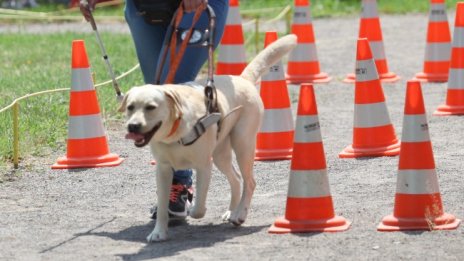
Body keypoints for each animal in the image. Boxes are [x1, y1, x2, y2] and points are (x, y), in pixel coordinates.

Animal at [118, 34, 296, 242]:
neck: (176, 132)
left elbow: (198, 208)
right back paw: (231, 211)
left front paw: (195, 210)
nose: (133, 126)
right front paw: (158, 232)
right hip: (220, 154)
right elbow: (162, 206)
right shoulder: (163, 169)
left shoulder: (204, 165)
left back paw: (239, 214)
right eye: (130, 107)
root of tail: (242, 79)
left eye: (150, 107)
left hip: (242, 145)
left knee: (250, 182)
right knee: (236, 179)